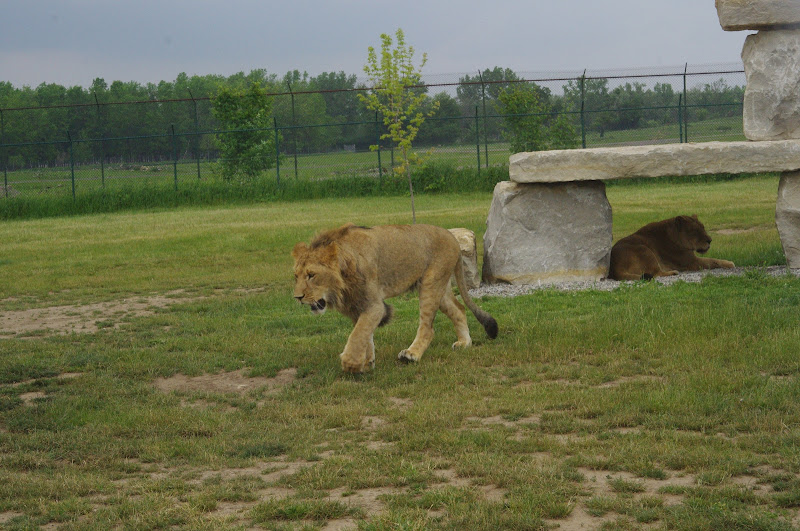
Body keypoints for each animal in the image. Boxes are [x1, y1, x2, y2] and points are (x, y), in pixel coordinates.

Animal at [292, 223, 498, 373]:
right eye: (296, 276)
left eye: (311, 275)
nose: (297, 297)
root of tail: (451, 236)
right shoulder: (358, 307)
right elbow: (365, 335)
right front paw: (367, 362)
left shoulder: (375, 305)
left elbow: (357, 335)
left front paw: (351, 364)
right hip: (440, 287)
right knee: (459, 309)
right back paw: (465, 343)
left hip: (430, 284)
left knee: (428, 328)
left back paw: (412, 354)